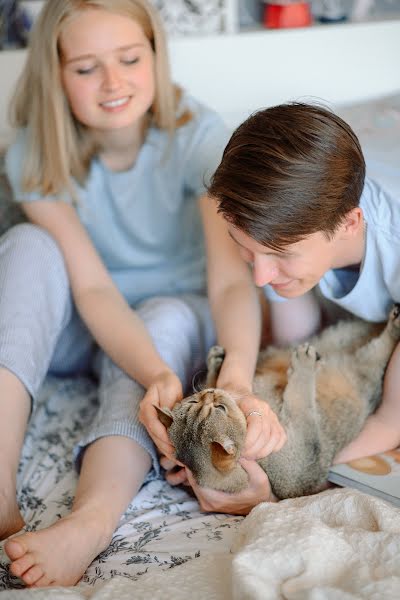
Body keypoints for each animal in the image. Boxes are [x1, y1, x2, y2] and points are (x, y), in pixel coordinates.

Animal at [158, 302, 400, 500]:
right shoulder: (302, 457)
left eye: (193, 402)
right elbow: (302, 400)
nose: (209, 394)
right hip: (361, 371)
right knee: (377, 353)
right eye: (221, 408)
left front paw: (216, 367)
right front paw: (304, 368)